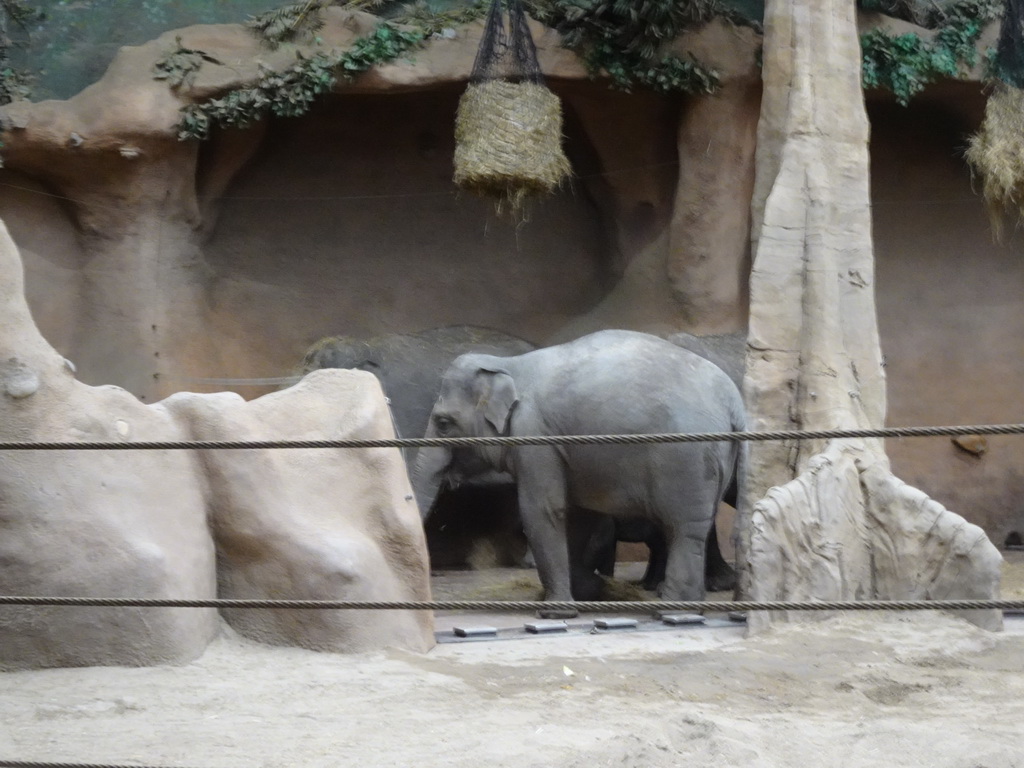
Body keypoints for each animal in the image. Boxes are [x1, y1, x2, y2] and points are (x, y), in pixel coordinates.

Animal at [413, 327, 745, 618]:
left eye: (443, 423)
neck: (508, 364)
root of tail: (734, 403)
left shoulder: (535, 437)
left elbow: (543, 511)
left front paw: (554, 612)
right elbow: (578, 515)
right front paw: (589, 590)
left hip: (686, 459)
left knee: (682, 529)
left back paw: (674, 612)